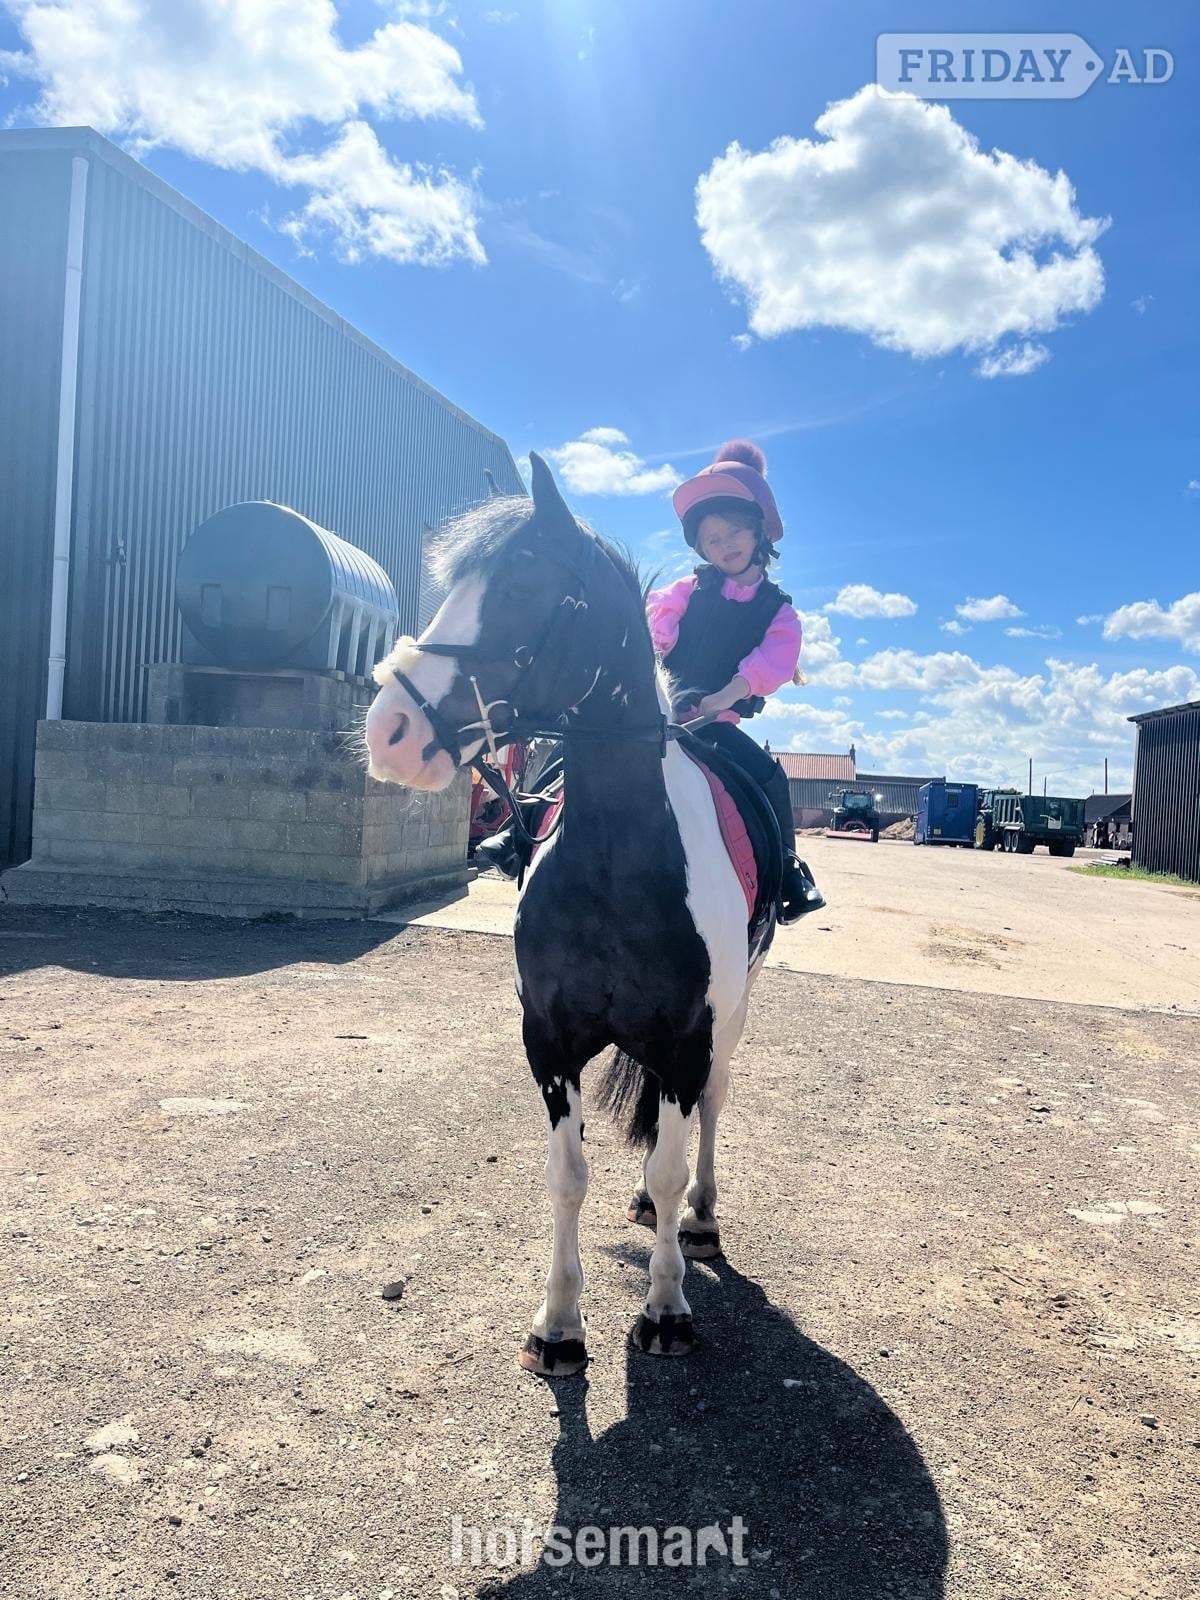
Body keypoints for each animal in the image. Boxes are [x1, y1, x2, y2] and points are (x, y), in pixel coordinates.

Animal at [364, 454, 776, 1376]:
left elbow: (669, 1167)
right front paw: (557, 1324)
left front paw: (666, 1309)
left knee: (708, 1114)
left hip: (730, 1023)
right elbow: (569, 1176)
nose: (390, 730)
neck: (618, 861)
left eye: (525, 584)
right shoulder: (549, 1041)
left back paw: (699, 1219)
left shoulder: (686, 1038)